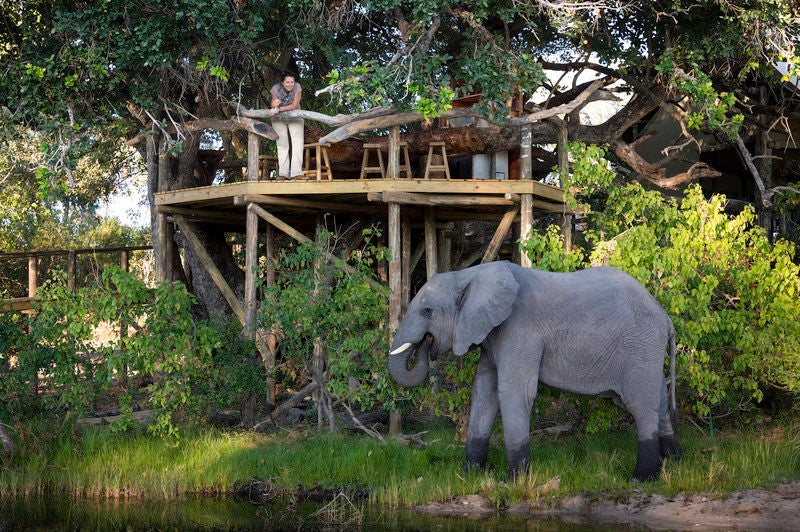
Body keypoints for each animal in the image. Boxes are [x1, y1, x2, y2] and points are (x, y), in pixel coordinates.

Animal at [388, 260, 680, 482]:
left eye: (427, 311)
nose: (426, 343)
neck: (471, 274)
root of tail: (666, 317)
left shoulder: (519, 330)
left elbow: (514, 393)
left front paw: (511, 483)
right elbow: (483, 392)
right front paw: (469, 477)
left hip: (640, 346)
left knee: (641, 404)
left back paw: (640, 479)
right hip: (647, 350)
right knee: (659, 396)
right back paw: (674, 463)